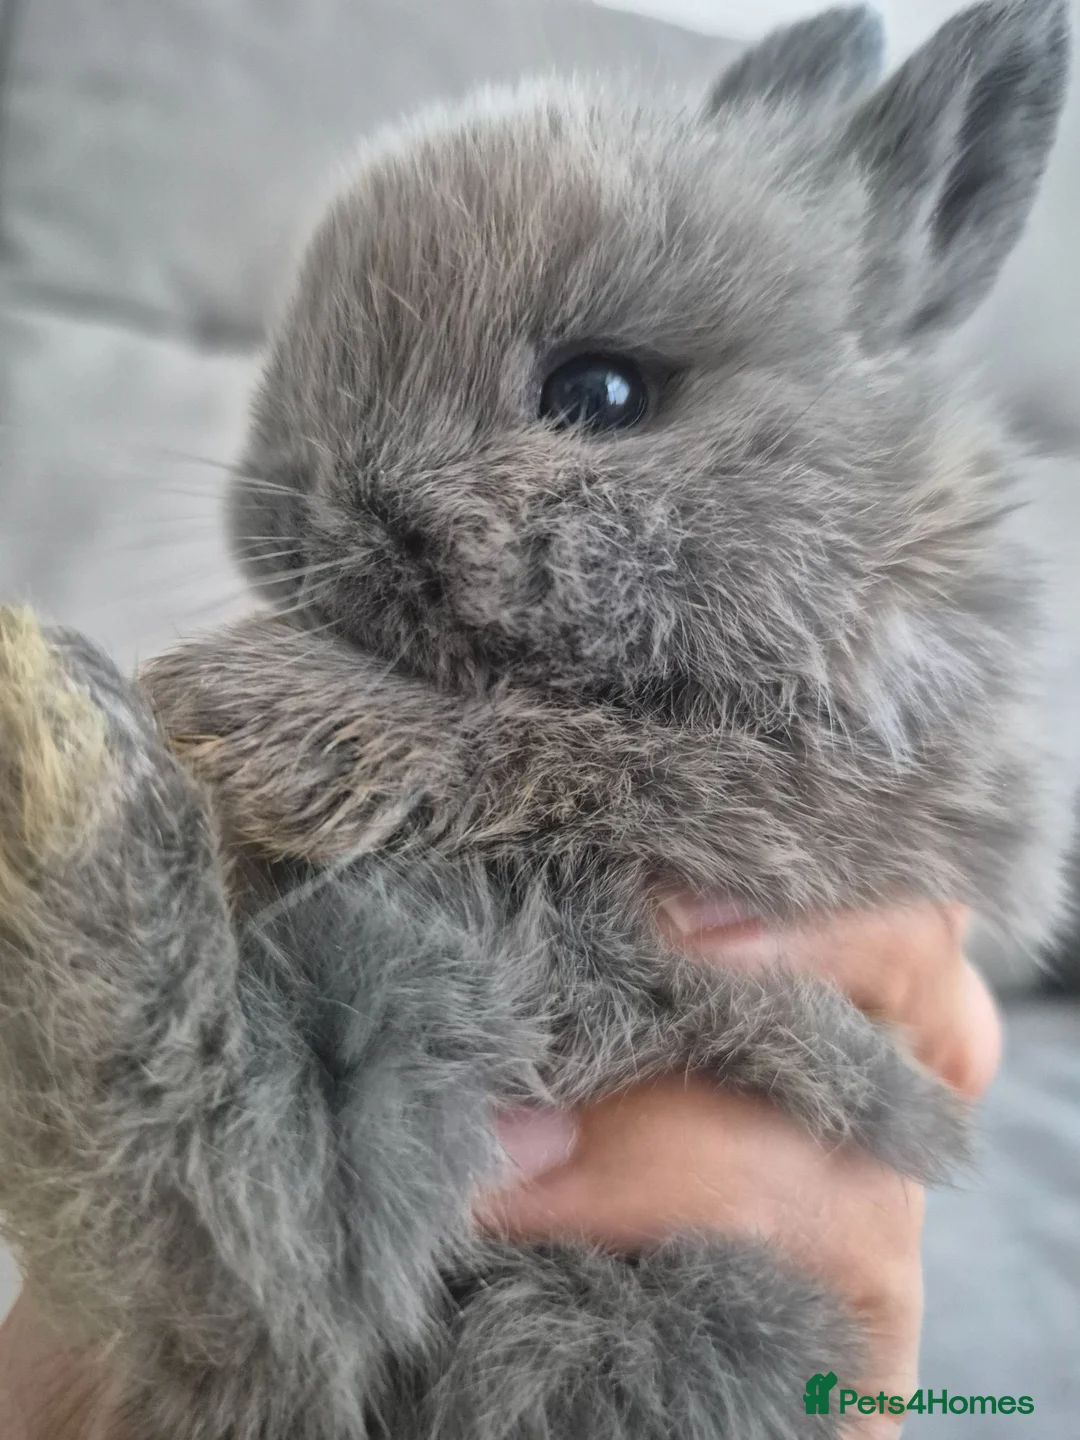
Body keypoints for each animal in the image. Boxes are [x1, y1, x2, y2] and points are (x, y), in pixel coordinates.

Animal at [0, 3, 1073, 1437]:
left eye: (602, 394)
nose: (299, 512)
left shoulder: (809, 793)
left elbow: (569, 746)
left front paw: (239, 706)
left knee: (254, 1245)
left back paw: (60, 738)